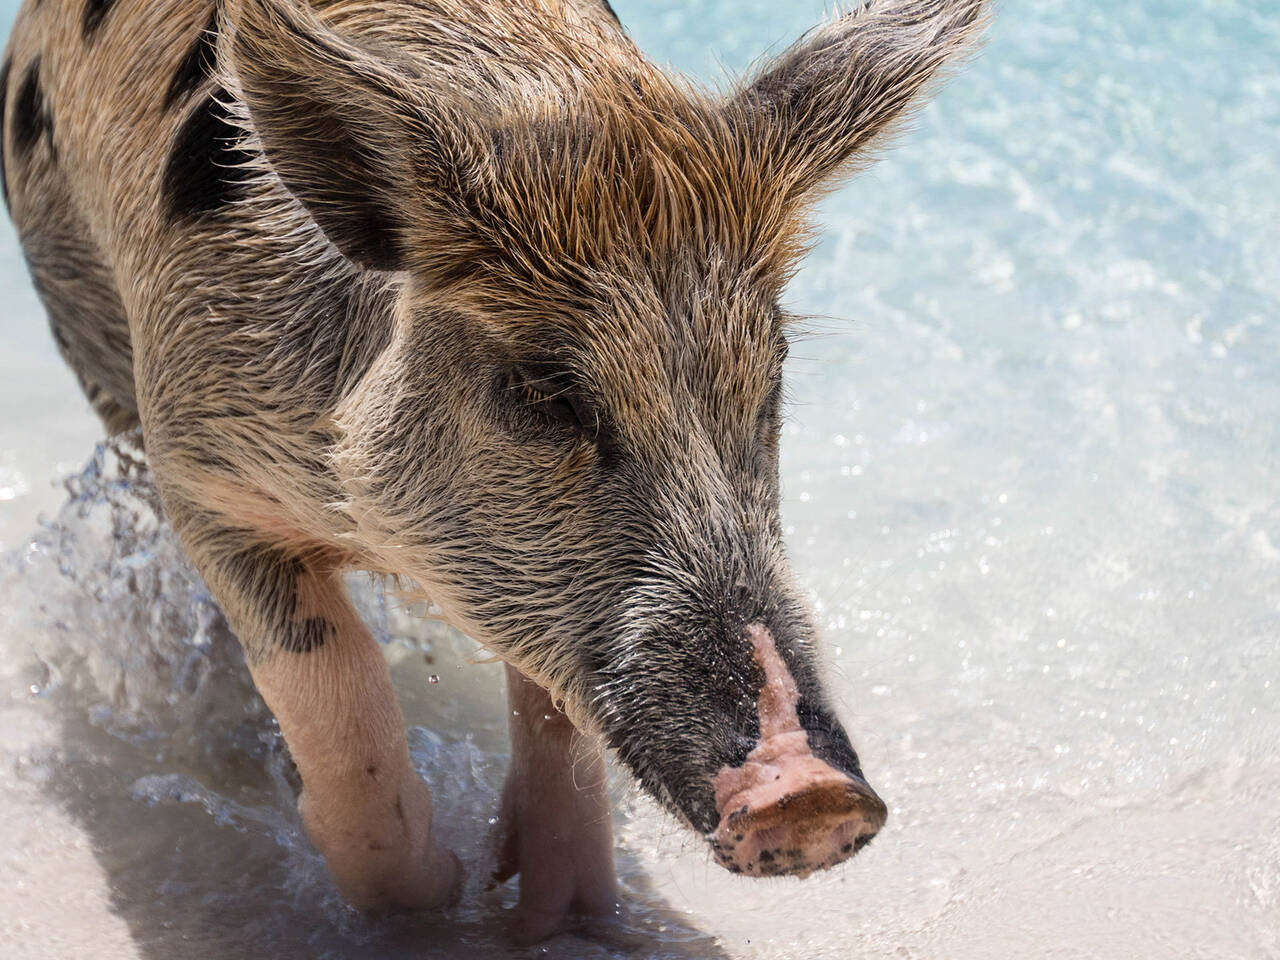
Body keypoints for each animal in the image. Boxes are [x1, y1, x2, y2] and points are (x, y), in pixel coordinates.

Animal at [0, 0, 988, 947]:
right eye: (547, 391)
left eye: (769, 376)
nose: (811, 792)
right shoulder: (200, 467)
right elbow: (332, 681)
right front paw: (432, 897)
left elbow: (554, 715)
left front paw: (566, 921)